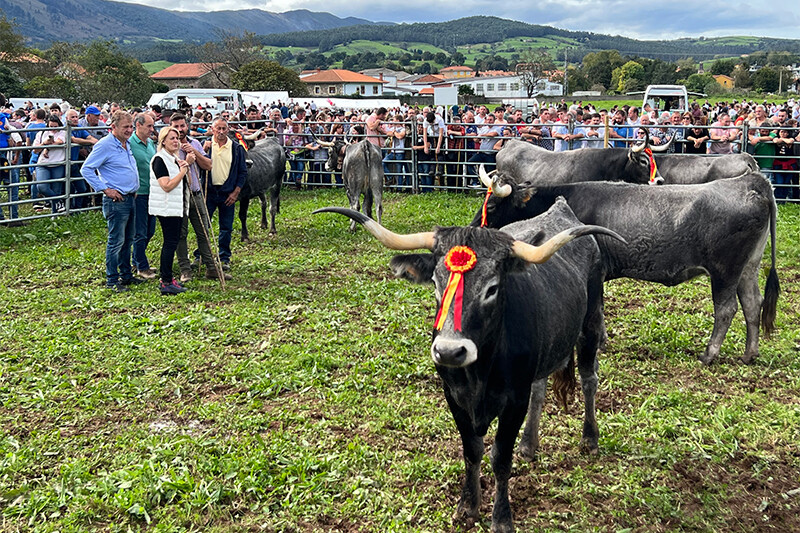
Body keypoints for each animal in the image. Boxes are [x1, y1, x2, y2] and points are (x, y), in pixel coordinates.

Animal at [312, 204, 624, 532]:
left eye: (492, 288)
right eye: (437, 283)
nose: (450, 350)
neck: (480, 373)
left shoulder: (514, 400)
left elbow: (500, 457)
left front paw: (501, 517)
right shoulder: (454, 396)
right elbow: (472, 451)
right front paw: (468, 506)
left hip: (591, 325)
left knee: (589, 379)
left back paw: (590, 438)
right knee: (540, 389)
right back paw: (529, 444)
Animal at [472, 168, 780, 364]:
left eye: (494, 206)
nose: (477, 227)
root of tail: (752, 182)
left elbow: (596, 308)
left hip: (725, 272)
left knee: (727, 309)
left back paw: (709, 354)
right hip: (748, 268)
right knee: (753, 303)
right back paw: (749, 354)